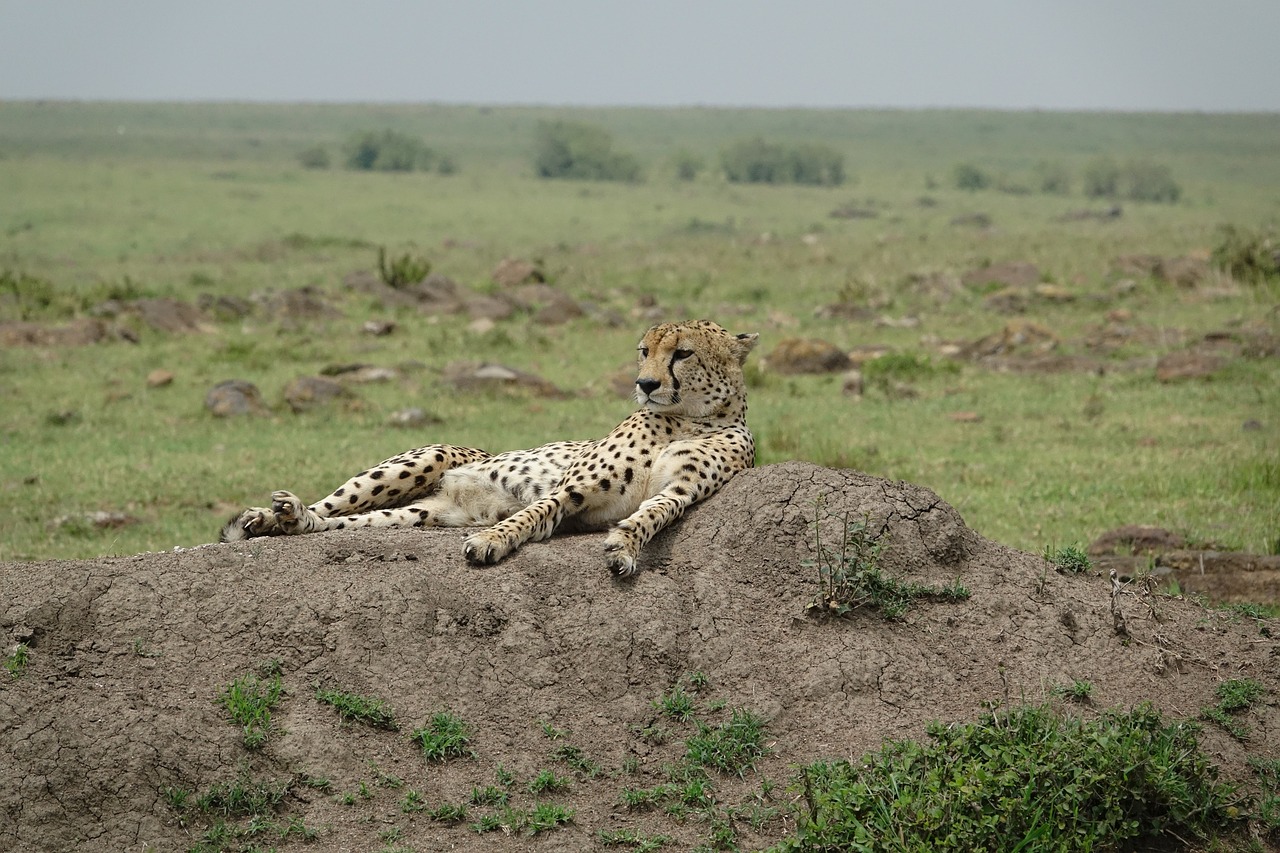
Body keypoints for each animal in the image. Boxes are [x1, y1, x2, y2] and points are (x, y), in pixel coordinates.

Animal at [221, 320, 757, 578]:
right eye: (645, 351)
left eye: (682, 353)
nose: (645, 384)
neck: (686, 417)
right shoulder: (575, 486)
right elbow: (536, 510)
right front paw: (494, 541)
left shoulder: (679, 491)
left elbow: (650, 514)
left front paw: (624, 546)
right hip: (424, 460)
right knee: (330, 505)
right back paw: (272, 515)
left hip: (420, 515)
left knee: (346, 524)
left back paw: (293, 520)